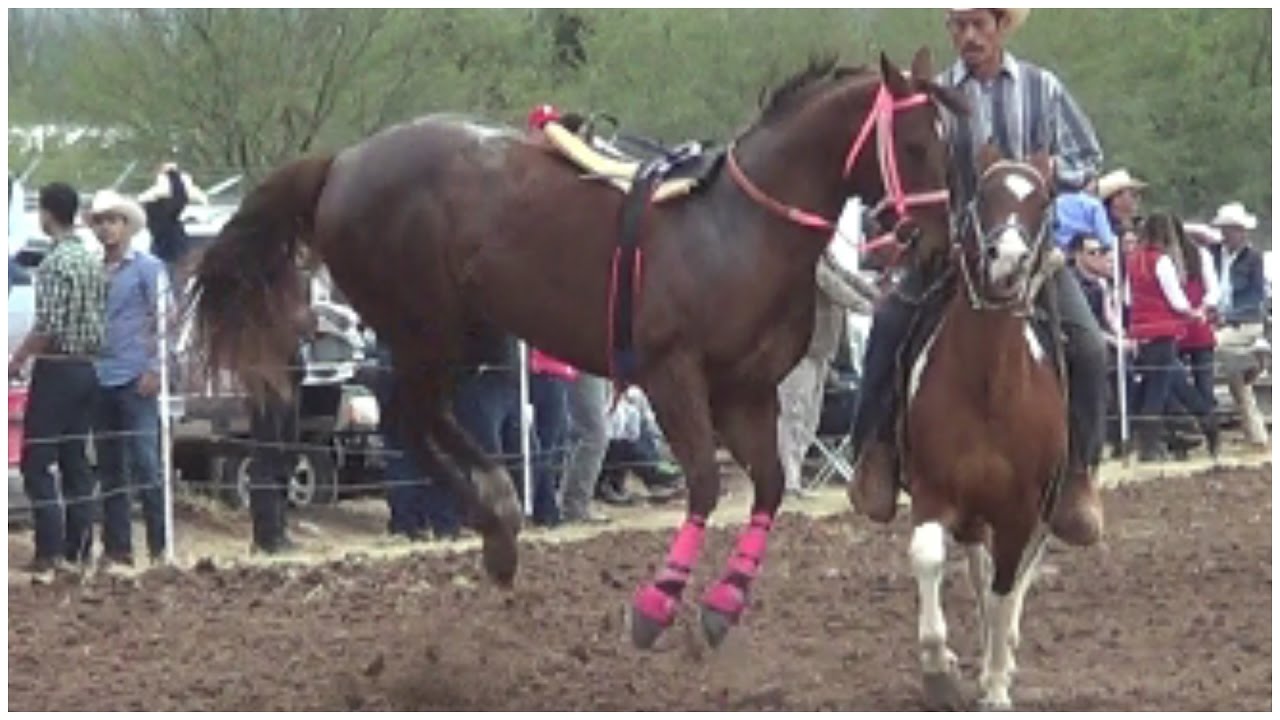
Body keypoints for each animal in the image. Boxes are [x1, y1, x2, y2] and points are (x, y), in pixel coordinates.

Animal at [190, 47, 963, 650]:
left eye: (948, 141)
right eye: (915, 144)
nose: (938, 243)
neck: (738, 229)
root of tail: (343, 162)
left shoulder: (746, 391)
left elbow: (769, 484)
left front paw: (723, 604)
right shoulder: (672, 376)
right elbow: (706, 483)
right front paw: (657, 603)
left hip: (453, 334)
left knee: (421, 421)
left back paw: (498, 523)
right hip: (423, 327)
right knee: (411, 418)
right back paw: (498, 517)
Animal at [900, 146, 1065, 710]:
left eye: (1043, 200)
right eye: (985, 194)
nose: (1007, 259)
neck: (989, 386)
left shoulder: (1021, 509)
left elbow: (1005, 587)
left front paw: (995, 683)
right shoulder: (934, 490)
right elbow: (930, 557)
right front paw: (938, 669)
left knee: (1013, 579)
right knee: (975, 564)